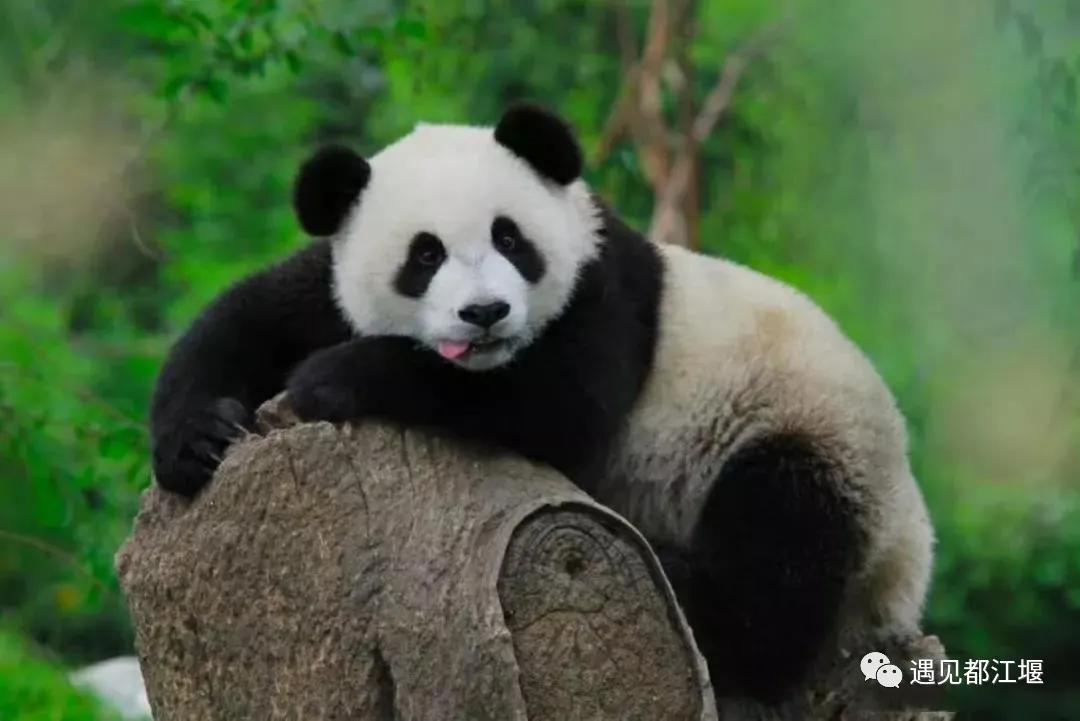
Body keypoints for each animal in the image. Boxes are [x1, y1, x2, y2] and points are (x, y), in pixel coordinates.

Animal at [150, 104, 933, 704]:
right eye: (425, 254)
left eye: (509, 236)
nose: (485, 313)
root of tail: (907, 560)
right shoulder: (332, 289)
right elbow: (250, 317)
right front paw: (198, 440)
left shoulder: (603, 292)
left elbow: (558, 407)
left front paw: (336, 375)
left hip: (809, 430)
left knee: (774, 564)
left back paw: (679, 574)